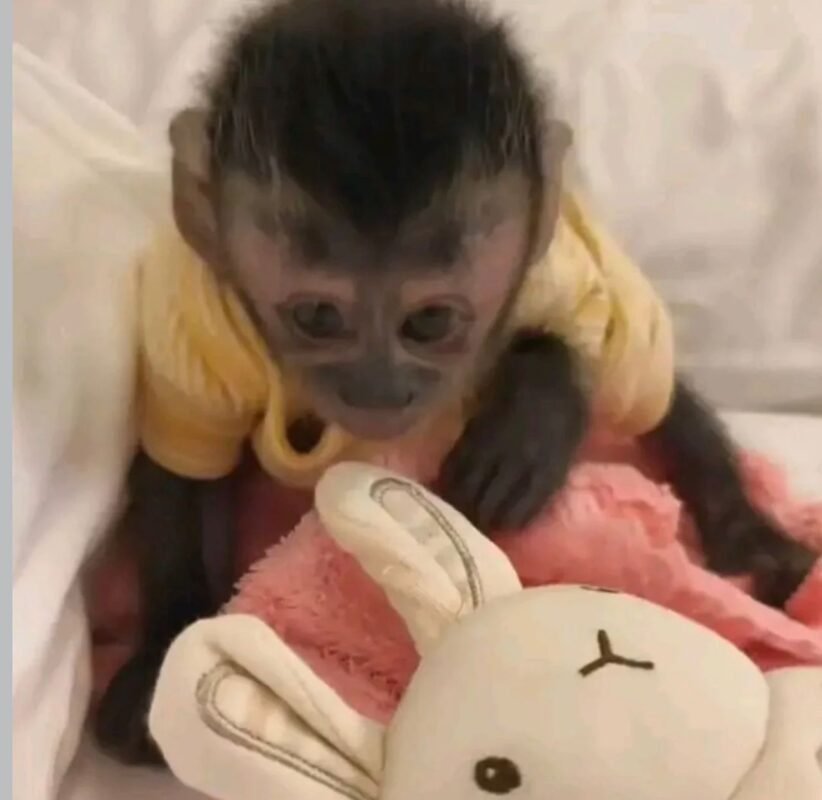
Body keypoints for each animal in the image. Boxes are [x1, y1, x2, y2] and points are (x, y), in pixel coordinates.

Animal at [93, 0, 818, 766]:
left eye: (431, 321)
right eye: (318, 315)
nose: (379, 389)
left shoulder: (557, 271)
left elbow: (590, 343)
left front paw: (535, 417)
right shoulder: (196, 315)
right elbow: (182, 470)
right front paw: (163, 646)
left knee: (644, 376)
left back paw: (743, 530)